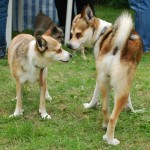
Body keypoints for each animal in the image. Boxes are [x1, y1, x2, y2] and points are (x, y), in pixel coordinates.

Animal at [68, 6, 143, 145]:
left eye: (78, 34)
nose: (69, 45)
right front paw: (131, 109)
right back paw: (110, 140)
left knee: (105, 108)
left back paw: (105, 125)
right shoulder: (126, 82)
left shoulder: (107, 79)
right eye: (71, 33)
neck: (101, 34)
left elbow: (95, 96)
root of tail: (117, 44)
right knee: (113, 117)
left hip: (105, 81)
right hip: (119, 88)